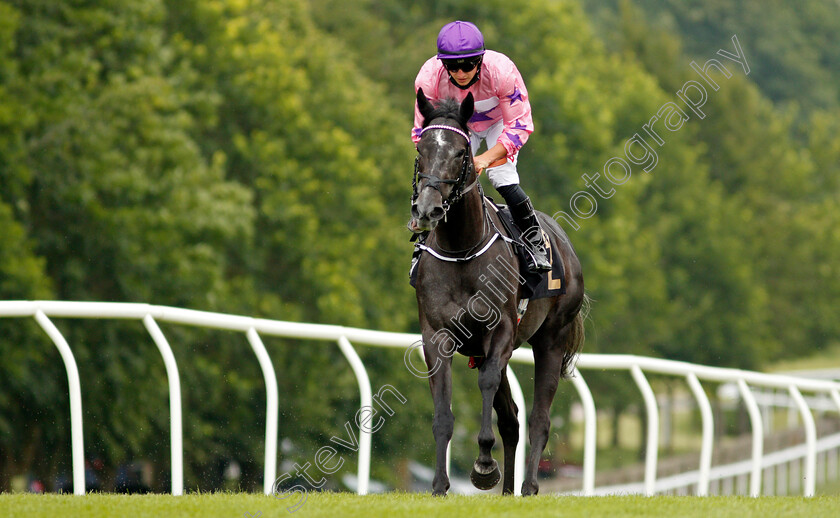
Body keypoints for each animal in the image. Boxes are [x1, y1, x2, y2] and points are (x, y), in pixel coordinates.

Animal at [408, 89, 584, 500]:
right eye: (421, 148)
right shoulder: (437, 335)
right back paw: (506, 492)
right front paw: (439, 486)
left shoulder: (501, 330)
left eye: (461, 153)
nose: (428, 209)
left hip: (550, 340)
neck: (461, 249)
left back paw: (529, 485)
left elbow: (486, 383)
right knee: (512, 419)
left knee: (538, 419)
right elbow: (443, 411)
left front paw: (484, 465)